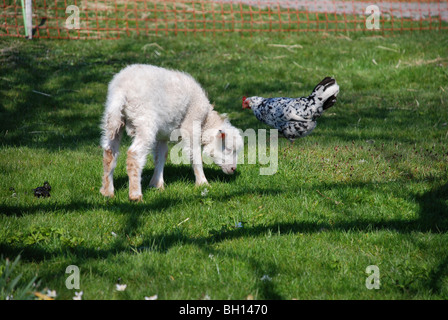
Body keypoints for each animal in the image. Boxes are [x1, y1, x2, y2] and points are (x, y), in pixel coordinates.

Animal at [100, 63, 243, 201]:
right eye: (228, 149)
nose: (233, 169)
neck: (205, 120)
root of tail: (121, 90)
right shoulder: (191, 124)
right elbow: (196, 155)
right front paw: (203, 183)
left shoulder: (162, 136)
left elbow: (161, 156)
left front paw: (157, 184)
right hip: (144, 120)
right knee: (134, 154)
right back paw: (135, 195)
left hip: (112, 118)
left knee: (109, 153)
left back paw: (107, 192)